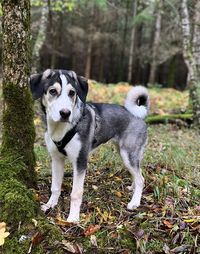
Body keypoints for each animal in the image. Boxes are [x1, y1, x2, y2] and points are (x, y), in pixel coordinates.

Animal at [30, 69, 150, 222]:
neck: (61, 129)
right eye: (52, 91)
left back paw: (134, 202)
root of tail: (139, 114)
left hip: (128, 154)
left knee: (141, 178)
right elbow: (55, 187)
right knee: (137, 173)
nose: (65, 113)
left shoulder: (80, 161)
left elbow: (76, 193)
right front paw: (50, 205)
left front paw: (73, 218)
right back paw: (133, 188)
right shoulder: (56, 159)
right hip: (126, 153)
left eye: (72, 93)